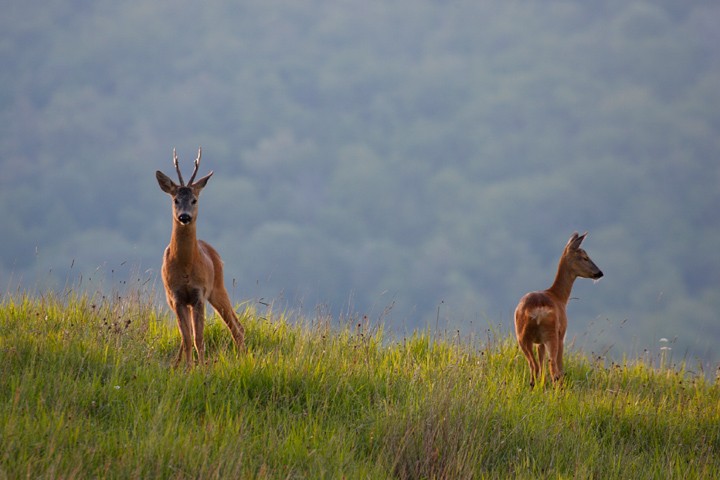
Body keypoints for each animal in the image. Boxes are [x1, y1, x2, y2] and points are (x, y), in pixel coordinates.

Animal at [156, 148, 246, 366]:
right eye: (175, 200)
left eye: (194, 200)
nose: (184, 216)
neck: (186, 266)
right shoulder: (177, 297)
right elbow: (188, 338)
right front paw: (188, 369)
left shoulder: (199, 294)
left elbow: (199, 338)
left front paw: (201, 369)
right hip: (173, 299)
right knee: (186, 336)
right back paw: (177, 364)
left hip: (218, 287)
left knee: (237, 327)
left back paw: (244, 359)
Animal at [516, 232, 604, 386]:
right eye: (585, 257)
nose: (599, 273)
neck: (559, 297)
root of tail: (537, 311)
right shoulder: (562, 333)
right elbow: (559, 367)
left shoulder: (539, 342)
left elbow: (541, 363)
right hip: (552, 334)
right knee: (554, 370)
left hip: (522, 336)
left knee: (534, 366)